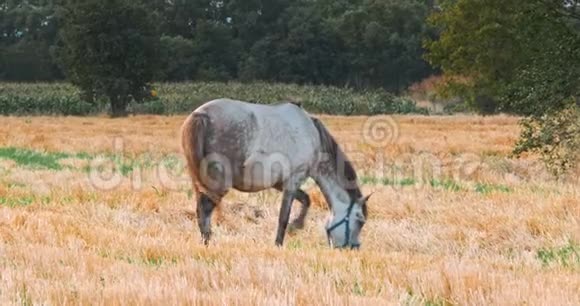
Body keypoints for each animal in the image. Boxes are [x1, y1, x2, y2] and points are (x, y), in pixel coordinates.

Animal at [181, 98, 372, 249]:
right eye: (360, 221)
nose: (353, 248)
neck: (313, 138)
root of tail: (200, 115)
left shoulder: (280, 184)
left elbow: (306, 199)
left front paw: (297, 226)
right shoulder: (293, 180)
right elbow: (284, 217)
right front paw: (281, 241)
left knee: (200, 212)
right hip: (218, 184)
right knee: (204, 212)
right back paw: (208, 243)